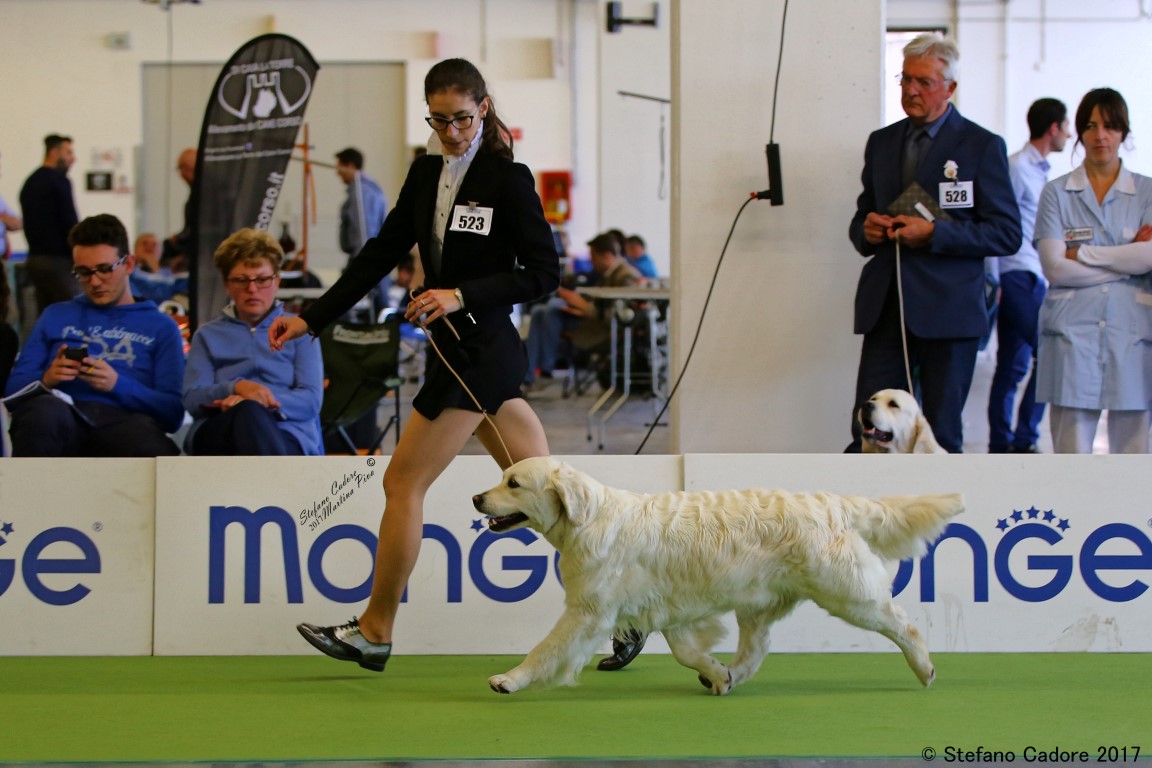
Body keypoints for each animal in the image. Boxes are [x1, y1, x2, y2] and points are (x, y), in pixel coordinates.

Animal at [467, 455, 963, 695]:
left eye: (513, 483)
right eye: (502, 477)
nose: (475, 497)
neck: (589, 518)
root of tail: (832, 502)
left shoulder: (588, 611)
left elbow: (545, 650)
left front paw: (509, 680)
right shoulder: (663, 606)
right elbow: (686, 652)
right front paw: (715, 673)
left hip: (848, 593)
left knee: (904, 624)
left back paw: (925, 669)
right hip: (759, 602)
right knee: (758, 648)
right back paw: (732, 675)